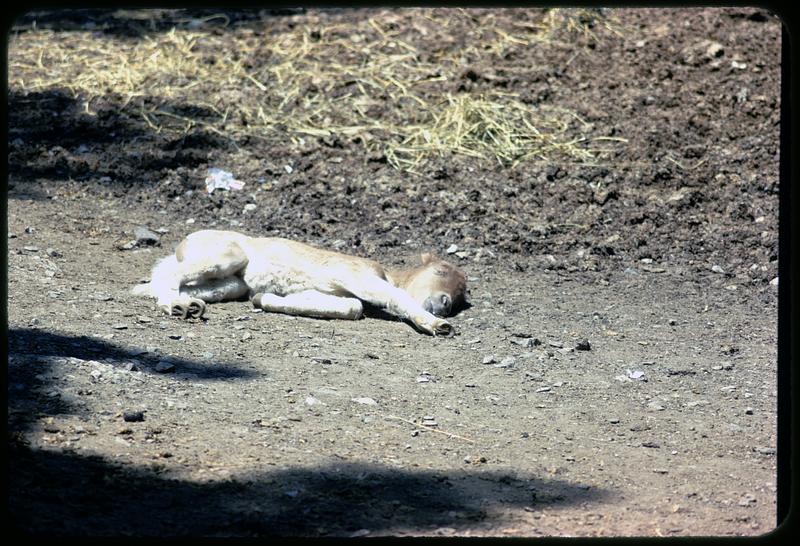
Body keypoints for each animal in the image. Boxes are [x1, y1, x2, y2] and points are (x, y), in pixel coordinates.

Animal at [132, 227, 468, 334]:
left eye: (461, 295)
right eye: (440, 272)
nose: (444, 304)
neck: (386, 272)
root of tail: (183, 244)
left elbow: (350, 307)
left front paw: (267, 299)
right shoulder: (357, 277)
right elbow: (390, 300)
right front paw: (437, 325)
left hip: (231, 283)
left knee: (163, 282)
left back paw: (187, 305)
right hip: (227, 256)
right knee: (169, 276)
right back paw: (177, 307)